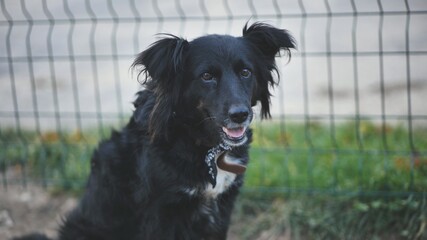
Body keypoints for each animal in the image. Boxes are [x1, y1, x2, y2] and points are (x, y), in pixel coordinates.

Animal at [13, 22, 294, 240]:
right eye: (206, 76)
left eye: (246, 72)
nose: (240, 115)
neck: (202, 145)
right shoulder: (160, 211)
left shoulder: (222, 206)